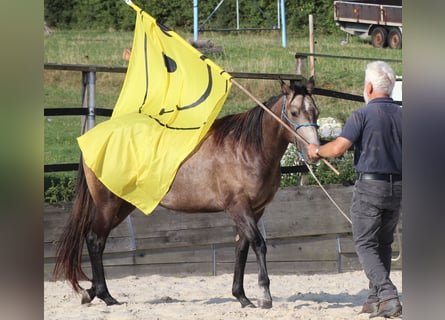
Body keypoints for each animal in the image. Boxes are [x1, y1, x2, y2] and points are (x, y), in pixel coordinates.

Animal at [53, 77, 320, 308]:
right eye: (294, 112)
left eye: (315, 112)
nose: (314, 152)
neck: (246, 149)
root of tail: (93, 138)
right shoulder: (239, 207)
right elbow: (258, 244)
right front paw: (264, 295)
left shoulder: (255, 210)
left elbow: (241, 248)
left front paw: (242, 297)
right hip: (109, 205)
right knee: (95, 240)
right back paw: (106, 296)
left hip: (122, 205)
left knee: (96, 240)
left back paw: (91, 292)